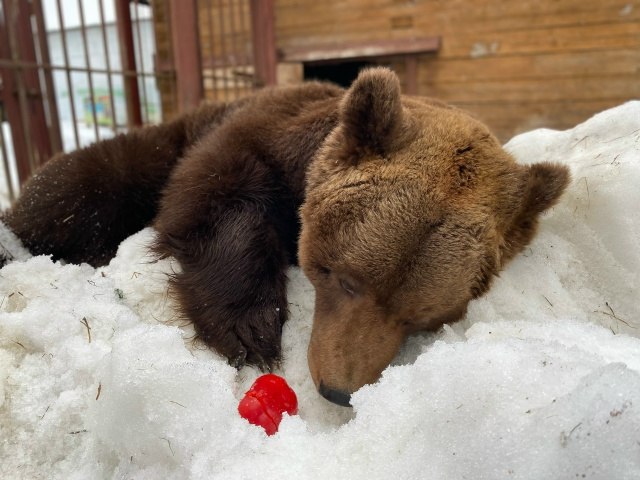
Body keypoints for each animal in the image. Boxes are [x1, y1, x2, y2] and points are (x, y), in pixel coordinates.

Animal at [0, 68, 569, 406]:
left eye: (422, 315)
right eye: (345, 278)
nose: (339, 389)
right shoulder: (254, 138)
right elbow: (216, 198)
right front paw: (251, 327)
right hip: (136, 157)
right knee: (77, 187)